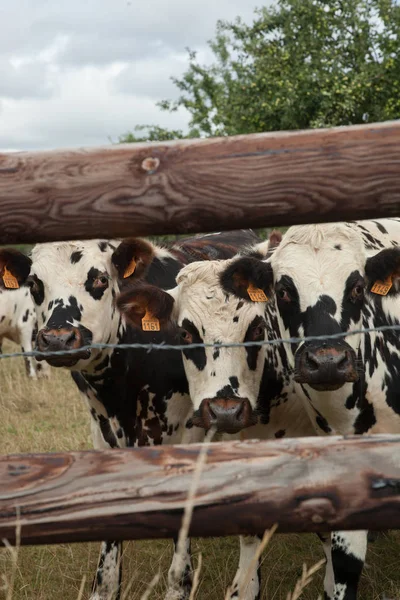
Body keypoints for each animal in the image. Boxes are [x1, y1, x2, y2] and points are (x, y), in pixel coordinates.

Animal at [0, 229, 260, 600]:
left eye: (99, 279)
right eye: (35, 284)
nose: (58, 339)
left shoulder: (188, 430)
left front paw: (179, 587)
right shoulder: (103, 431)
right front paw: (104, 588)